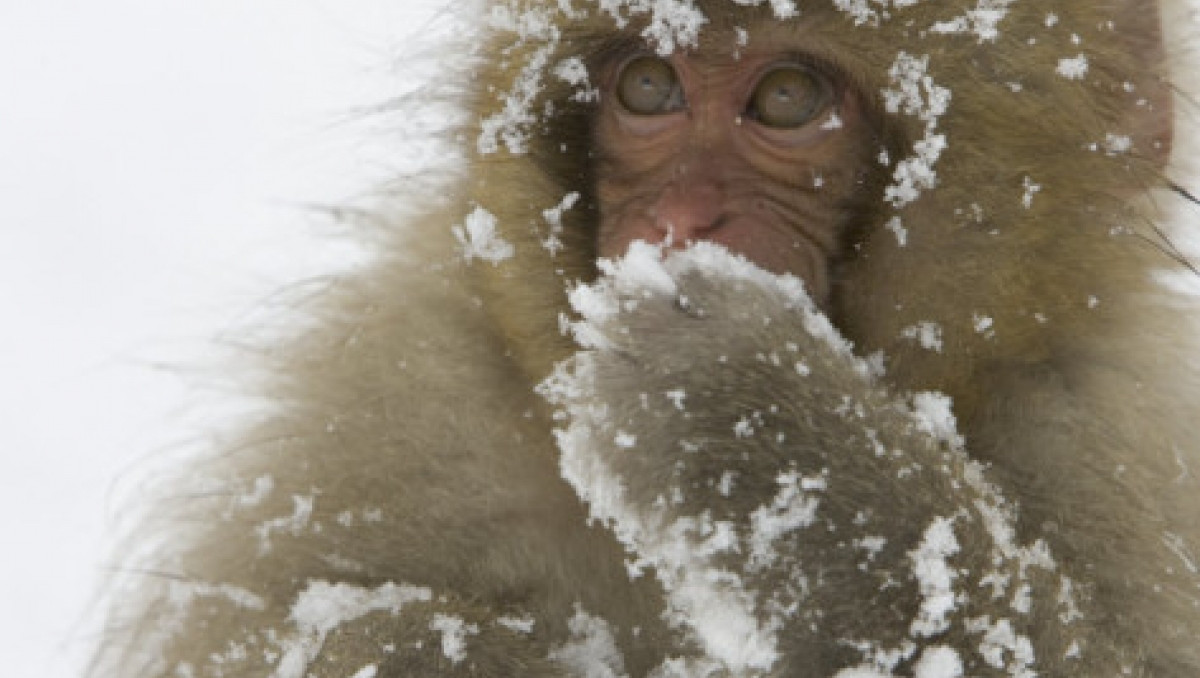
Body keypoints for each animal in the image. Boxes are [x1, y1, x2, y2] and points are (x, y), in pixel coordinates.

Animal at [88, 0, 1200, 672]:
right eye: (650, 88)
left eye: (787, 98)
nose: (677, 223)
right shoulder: (403, 386)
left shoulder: (1116, 432)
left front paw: (752, 418)